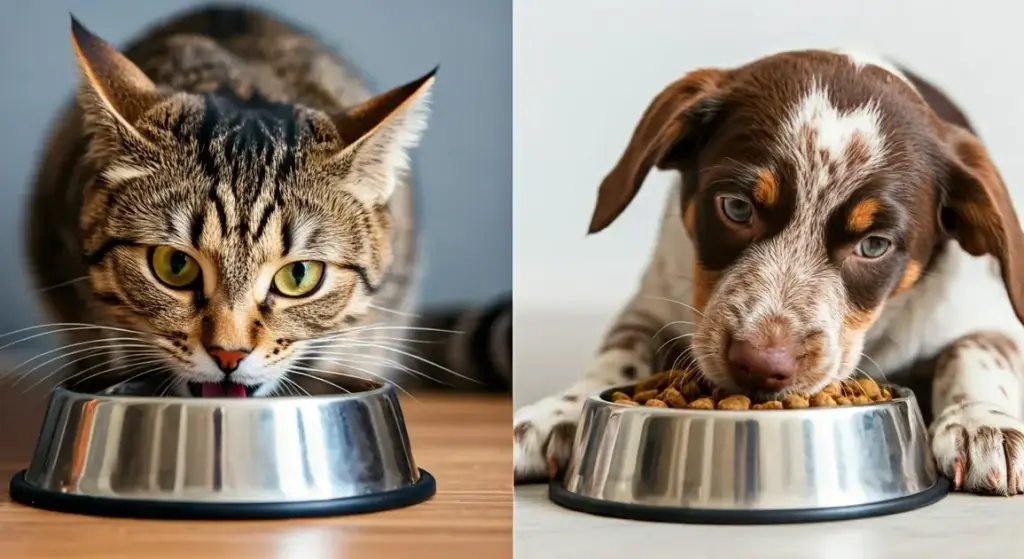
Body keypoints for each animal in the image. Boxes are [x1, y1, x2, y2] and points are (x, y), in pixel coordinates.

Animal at [512, 47, 1024, 491]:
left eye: (874, 245)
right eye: (737, 209)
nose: (760, 366)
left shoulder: (990, 317)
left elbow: (973, 350)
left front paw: (981, 422)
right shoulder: (652, 304)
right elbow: (618, 353)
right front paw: (559, 411)